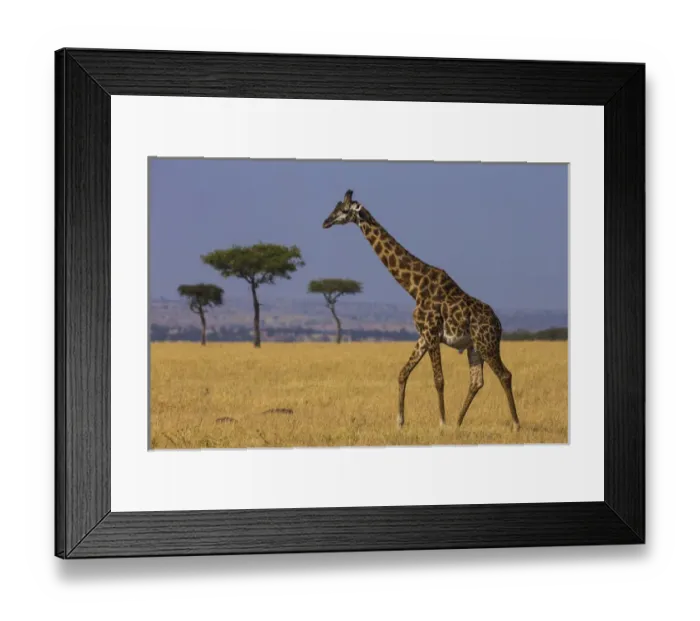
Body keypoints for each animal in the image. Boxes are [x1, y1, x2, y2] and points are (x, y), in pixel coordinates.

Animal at [322, 190, 520, 431]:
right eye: (335, 207)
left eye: (343, 210)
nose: (325, 222)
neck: (414, 287)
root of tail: (499, 324)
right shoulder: (423, 335)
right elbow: (403, 373)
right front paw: (400, 422)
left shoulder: (432, 333)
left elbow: (439, 379)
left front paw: (441, 423)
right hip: (474, 346)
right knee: (476, 381)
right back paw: (458, 423)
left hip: (487, 344)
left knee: (505, 375)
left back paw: (515, 424)